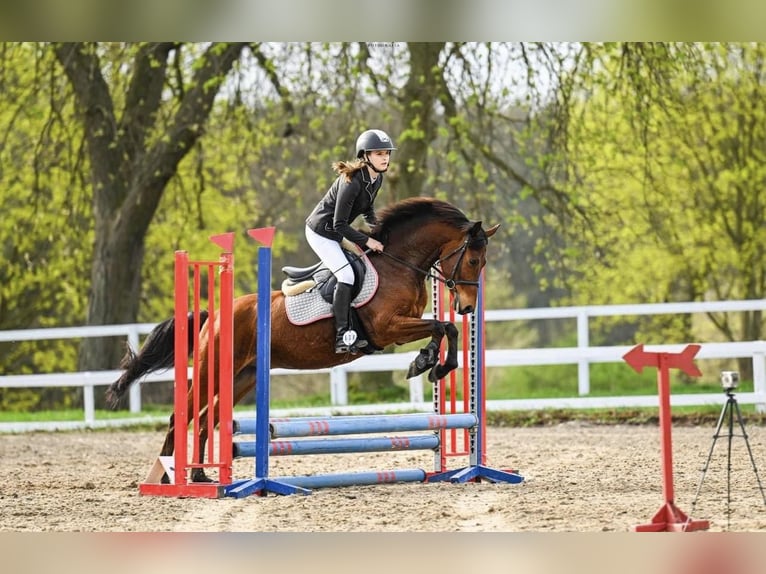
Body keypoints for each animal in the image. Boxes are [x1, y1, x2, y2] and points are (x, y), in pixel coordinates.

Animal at [109, 196, 504, 484]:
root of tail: (215, 314)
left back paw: (203, 476)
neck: (398, 264)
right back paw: (167, 478)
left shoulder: (401, 325)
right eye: (472, 260)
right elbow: (443, 326)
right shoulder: (387, 328)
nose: (467, 306)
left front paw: (427, 363)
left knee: (206, 419)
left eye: (482, 263)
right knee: (183, 415)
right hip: (212, 368)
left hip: (242, 376)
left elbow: (442, 328)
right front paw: (431, 365)